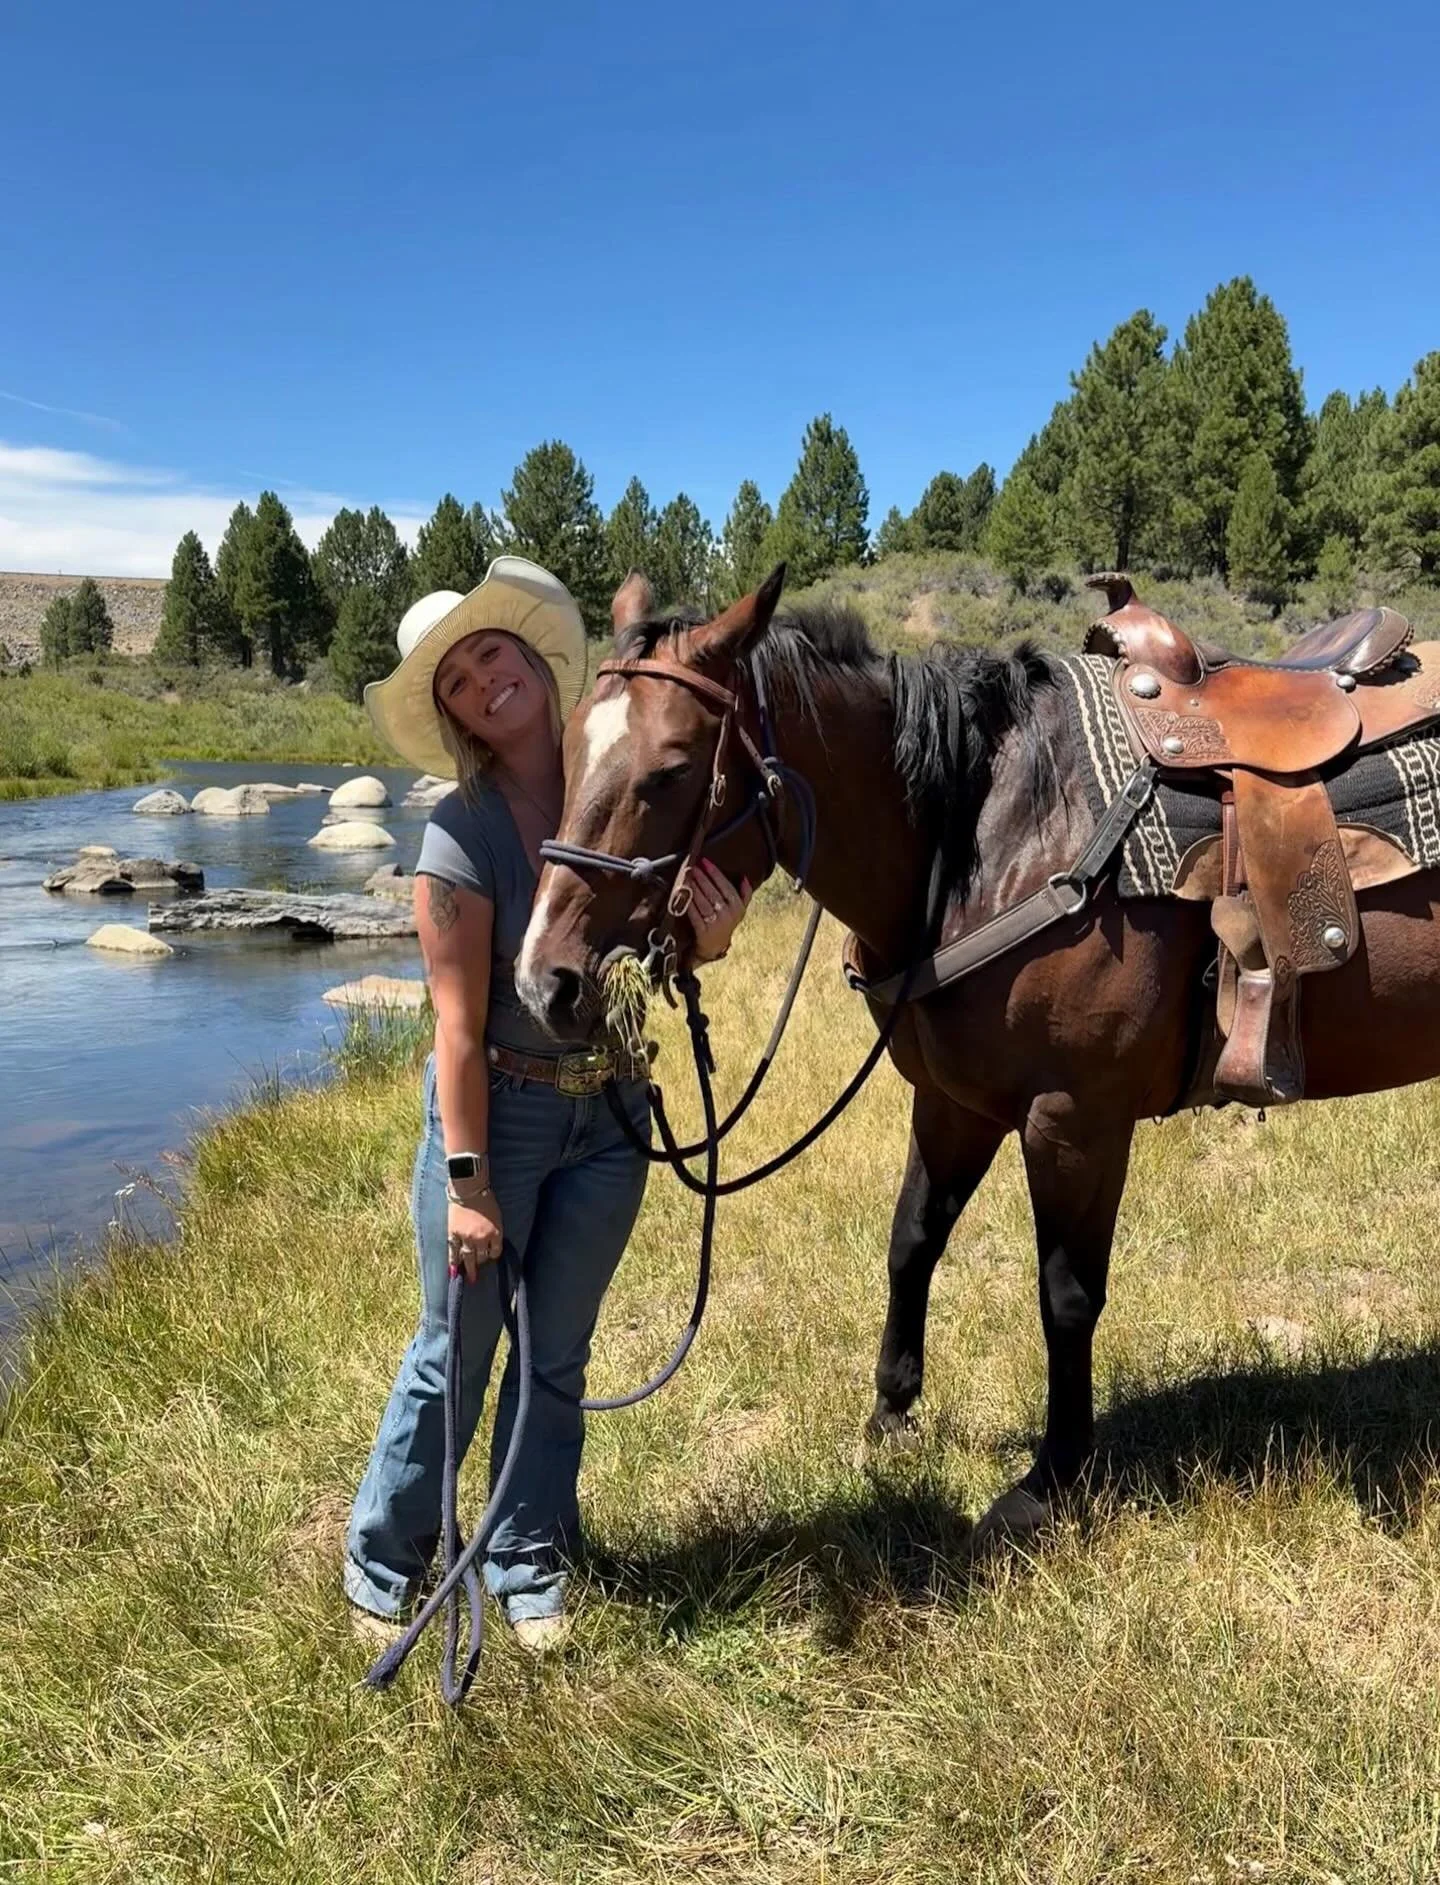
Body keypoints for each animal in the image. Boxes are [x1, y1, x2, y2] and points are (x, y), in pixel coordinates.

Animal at [516, 567, 1440, 1546]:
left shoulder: (1076, 1116)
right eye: (568, 752)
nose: (546, 982)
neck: (988, 834)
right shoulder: (952, 1101)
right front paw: (890, 1416)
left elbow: (1066, 1294)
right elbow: (912, 1239)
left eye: (671, 769)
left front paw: (1053, 1476)